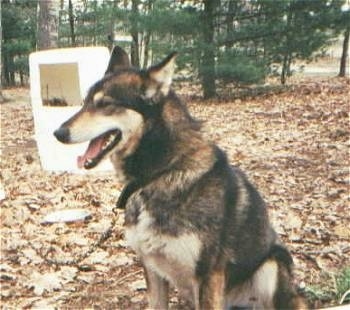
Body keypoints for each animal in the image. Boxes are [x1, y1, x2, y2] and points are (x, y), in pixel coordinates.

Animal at [53, 46, 304, 310]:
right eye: (85, 103)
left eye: (105, 104)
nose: (58, 133)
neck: (161, 172)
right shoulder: (152, 269)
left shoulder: (208, 275)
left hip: (271, 267)